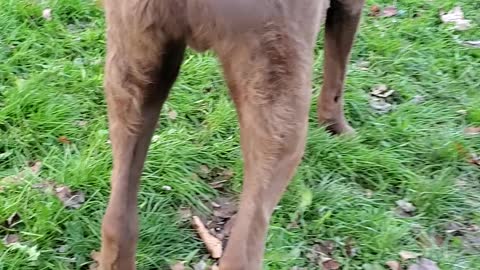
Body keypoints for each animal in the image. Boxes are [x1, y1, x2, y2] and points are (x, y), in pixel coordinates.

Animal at [100, 1, 364, 268]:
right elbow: (338, 67)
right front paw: (337, 127)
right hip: (280, 84)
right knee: (242, 253)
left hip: (133, 63)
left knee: (117, 223)